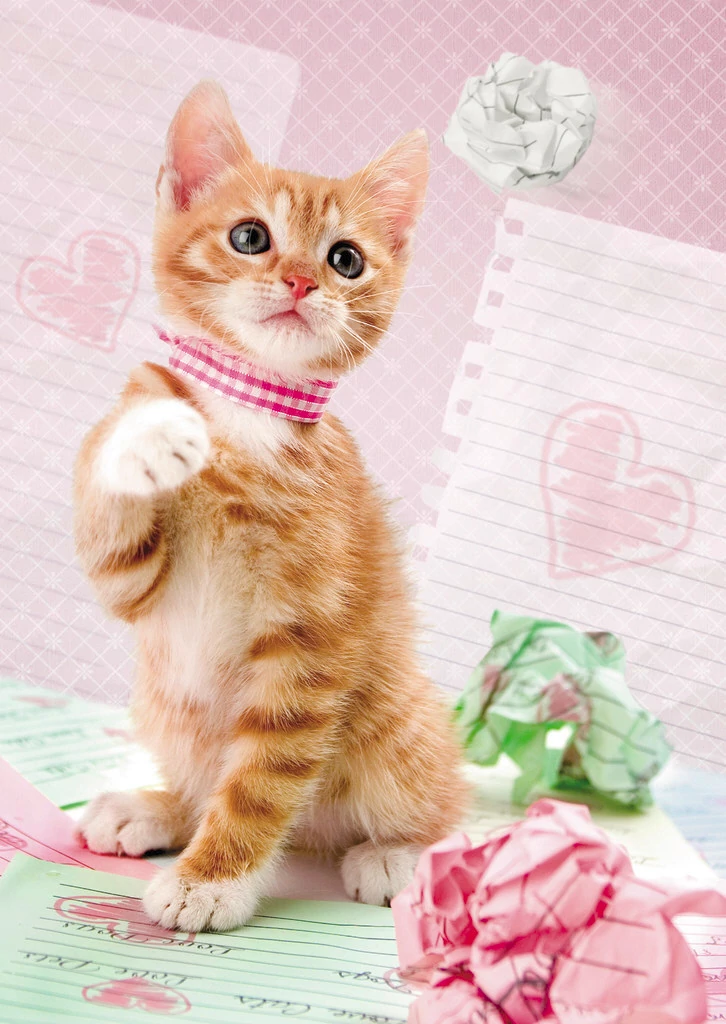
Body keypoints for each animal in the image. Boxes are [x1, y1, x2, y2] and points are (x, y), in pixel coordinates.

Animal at [74, 80, 468, 932]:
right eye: (250, 237)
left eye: (345, 258)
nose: (299, 281)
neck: (247, 409)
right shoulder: (132, 585)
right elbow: (111, 524)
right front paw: (149, 434)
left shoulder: (311, 645)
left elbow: (259, 779)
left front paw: (212, 880)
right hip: (164, 706)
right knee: (200, 781)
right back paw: (155, 808)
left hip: (398, 720)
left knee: (443, 803)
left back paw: (399, 852)